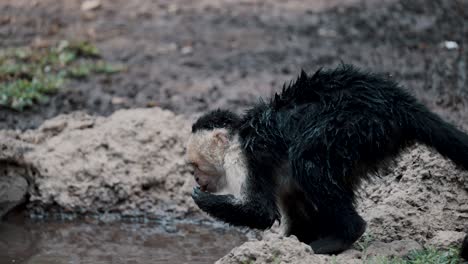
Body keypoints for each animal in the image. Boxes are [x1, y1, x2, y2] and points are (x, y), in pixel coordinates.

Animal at [185, 64, 468, 258]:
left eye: (195, 166)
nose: (197, 178)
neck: (238, 138)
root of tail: (398, 102)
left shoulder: (241, 159)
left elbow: (261, 212)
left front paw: (201, 199)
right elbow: (295, 212)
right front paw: (290, 243)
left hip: (358, 125)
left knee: (308, 160)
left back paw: (344, 235)